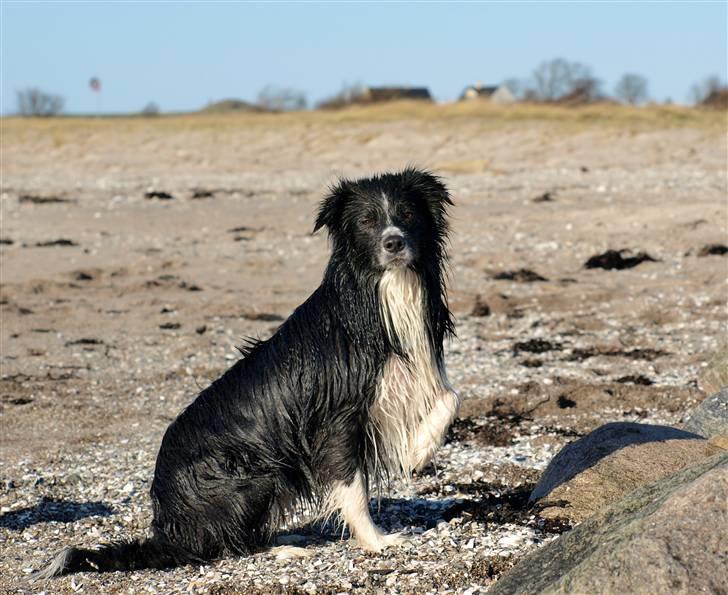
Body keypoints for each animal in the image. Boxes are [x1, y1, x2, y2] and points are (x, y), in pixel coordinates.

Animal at [37, 166, 458, 576]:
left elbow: (450, 397)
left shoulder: (415, 372)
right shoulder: (336, 418)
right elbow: (351, 486)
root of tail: (168, 528)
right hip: (253, 474)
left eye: (407, 214)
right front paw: (377, 541)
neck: (386, 292)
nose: (394, 242)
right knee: (226, 545)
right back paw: (284, 548)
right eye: (368, 221)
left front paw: (419, 451)